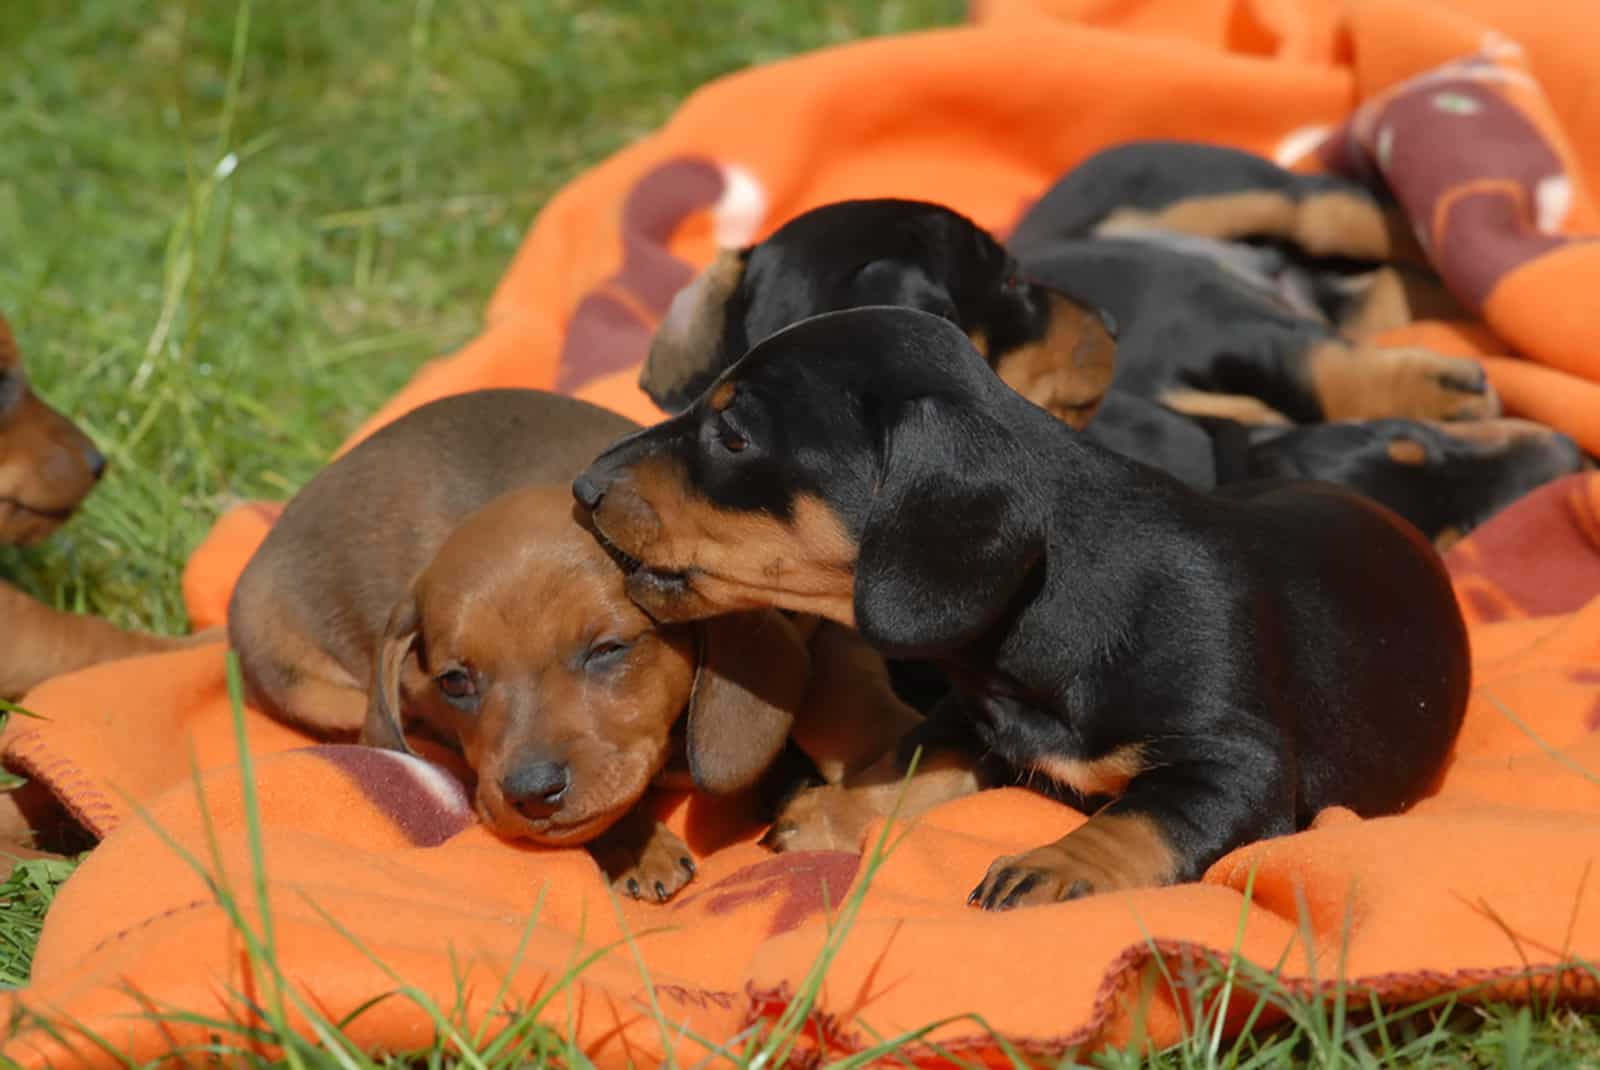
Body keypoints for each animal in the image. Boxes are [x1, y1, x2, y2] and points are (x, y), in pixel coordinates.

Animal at [579, 307, 1472, 908]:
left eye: (732, 434)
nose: (583, 488)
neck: (1056, 606)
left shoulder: (1237, 765)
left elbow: (1142, 818)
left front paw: (1054, 866)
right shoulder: (975, 721)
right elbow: (906, 764)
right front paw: (831, 810)